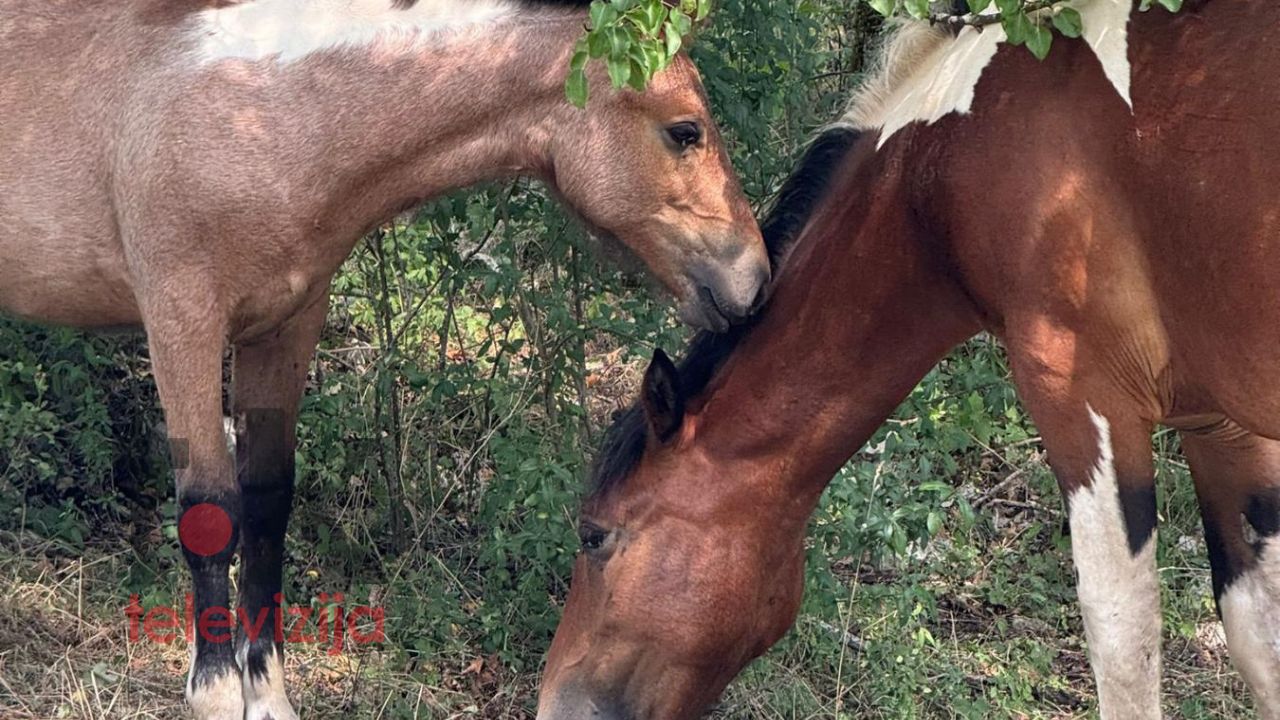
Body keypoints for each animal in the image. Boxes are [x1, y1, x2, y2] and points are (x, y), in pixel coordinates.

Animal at [0, 1, 768, 717]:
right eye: (685, 130)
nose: (754, 279)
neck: (266, 114)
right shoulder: (181, 322)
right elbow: (210, 510)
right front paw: (216, 697)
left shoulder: (285, 326)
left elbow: (268, 499)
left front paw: (267, 695)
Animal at [537, 1, 1280, 717]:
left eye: (594, 536)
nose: (553, 705)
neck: (953, 161)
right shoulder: (1222, 427)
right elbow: (1258, 638)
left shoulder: (1086, 402)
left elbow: (1122, 642)